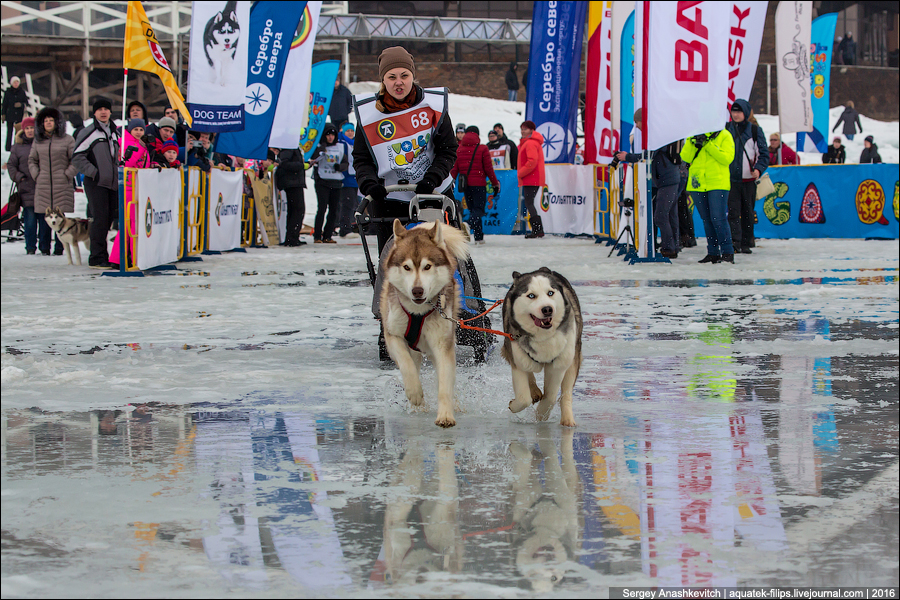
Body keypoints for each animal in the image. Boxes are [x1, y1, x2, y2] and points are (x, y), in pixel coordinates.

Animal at [378, 219, 468, 426]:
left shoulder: (442, 344)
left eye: (427, 266)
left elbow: (444, 385)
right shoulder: (392, 336)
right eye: (407, 267)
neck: (417, 313)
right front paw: (415, 393)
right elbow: (406, 364)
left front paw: (446, 414)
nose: (417, 290)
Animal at [500, 268, 584, 426]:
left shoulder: (557, 366)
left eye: (550, 293)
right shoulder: (516, 357)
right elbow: (523, 398)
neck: (543, 336)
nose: (547, 309)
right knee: (530, 371)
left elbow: (551, 397)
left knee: (566, 393)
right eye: (531, 295)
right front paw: (514, 405)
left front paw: (541, 415)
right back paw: (534, 390)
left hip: (572, 359)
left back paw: (567, 419)